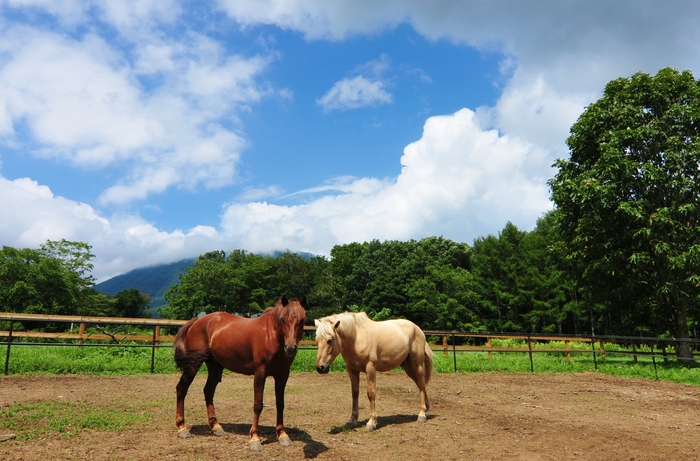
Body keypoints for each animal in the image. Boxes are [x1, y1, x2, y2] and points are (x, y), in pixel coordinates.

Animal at [173, 294, 306, 450]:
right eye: (283, 319)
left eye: (302, 320)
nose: (290, 348)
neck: (271, 335)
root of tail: (197, 321)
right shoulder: (260, 374)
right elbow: (258, 405)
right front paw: (254, 438)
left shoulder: (282, 375)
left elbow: (280, 403)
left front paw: (282, 435)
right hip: (193, 365)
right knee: (182, 388)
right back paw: (182, 428)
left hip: (214, 366)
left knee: (208, 391)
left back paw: (215, 426)